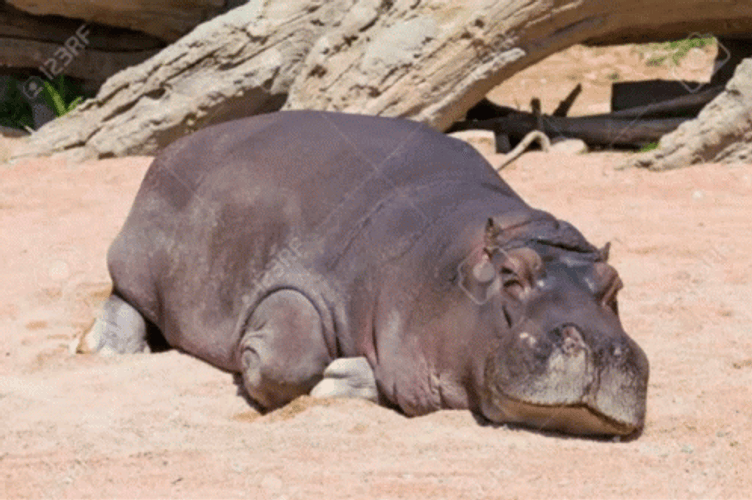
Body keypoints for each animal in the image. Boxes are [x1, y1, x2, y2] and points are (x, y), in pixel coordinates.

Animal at [83, 110, 649, 437]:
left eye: (615, 284)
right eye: (512, 274)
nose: (602, 347)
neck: (449, 261)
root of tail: (180, 144)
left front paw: (342, 377)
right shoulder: (299, 279)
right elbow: (284, 362)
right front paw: (293, 368)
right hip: (138, 261)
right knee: (124, 298)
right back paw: (104, 348)